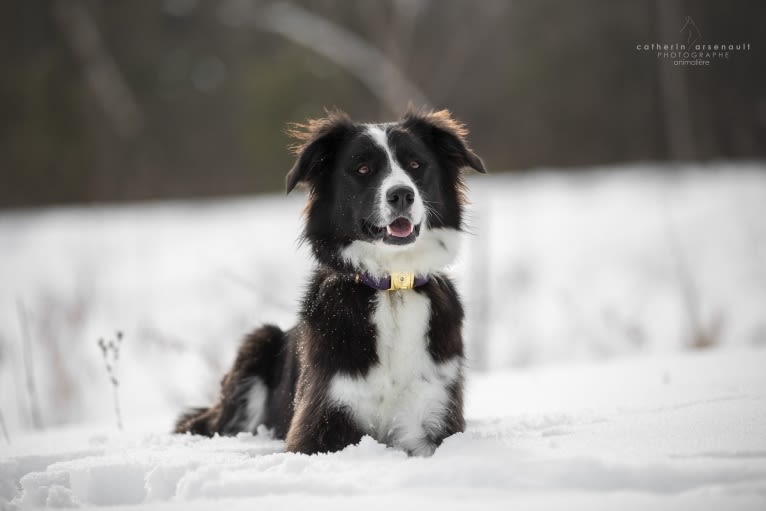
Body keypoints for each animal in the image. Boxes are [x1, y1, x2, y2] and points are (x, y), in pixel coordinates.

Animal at [176, 108, 486, 456]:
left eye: (416, 164)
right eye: (362, 169)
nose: (402, 194)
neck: (393, 286)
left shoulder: (434, 418)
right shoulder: (323, 418)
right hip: (257, 342)